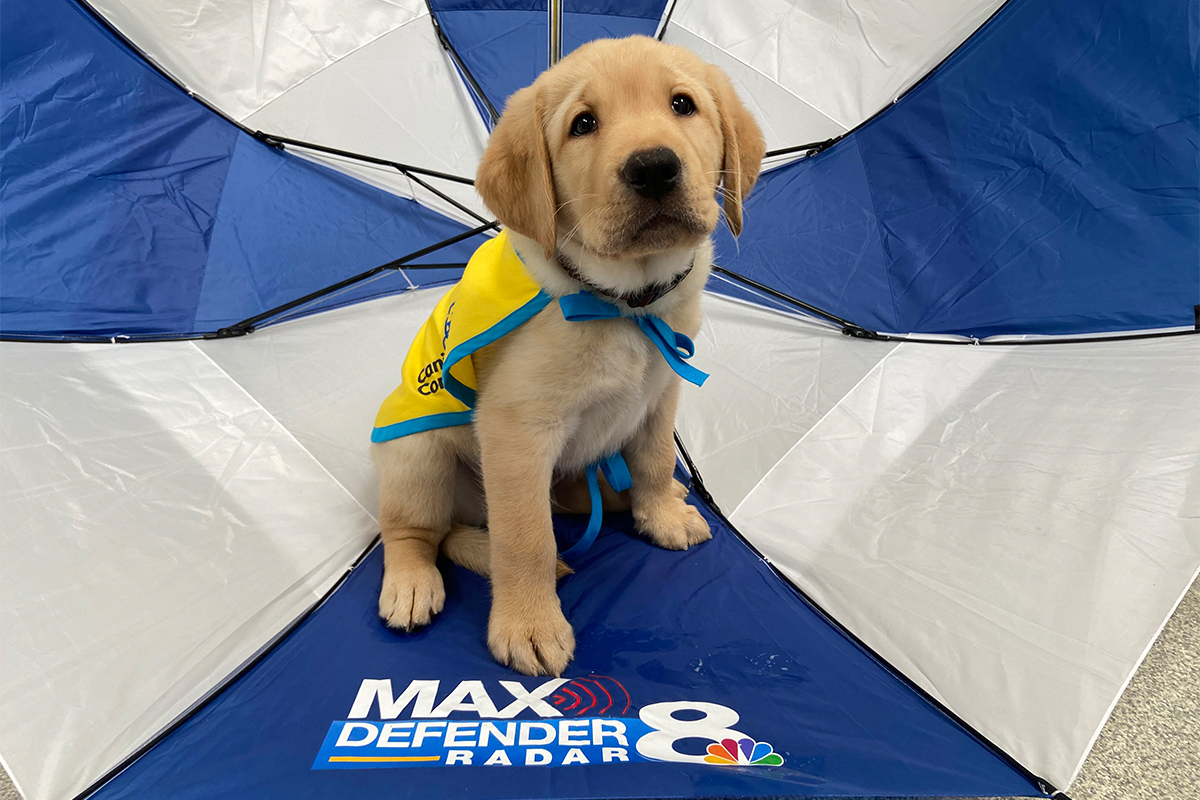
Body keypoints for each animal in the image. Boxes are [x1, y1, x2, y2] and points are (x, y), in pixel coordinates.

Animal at [369, 35, 763, 676]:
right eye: (583, 124)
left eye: (682, 105)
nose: (653, 166)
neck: (622, 303)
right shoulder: (516, 433)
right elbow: (527, 537)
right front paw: (529, 625)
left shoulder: (661, 394)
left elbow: (654, 459)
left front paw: (660, 513)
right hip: (416, 453)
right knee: (415, 532)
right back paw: (410, 583)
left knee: (575, 496)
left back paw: (622, 497)